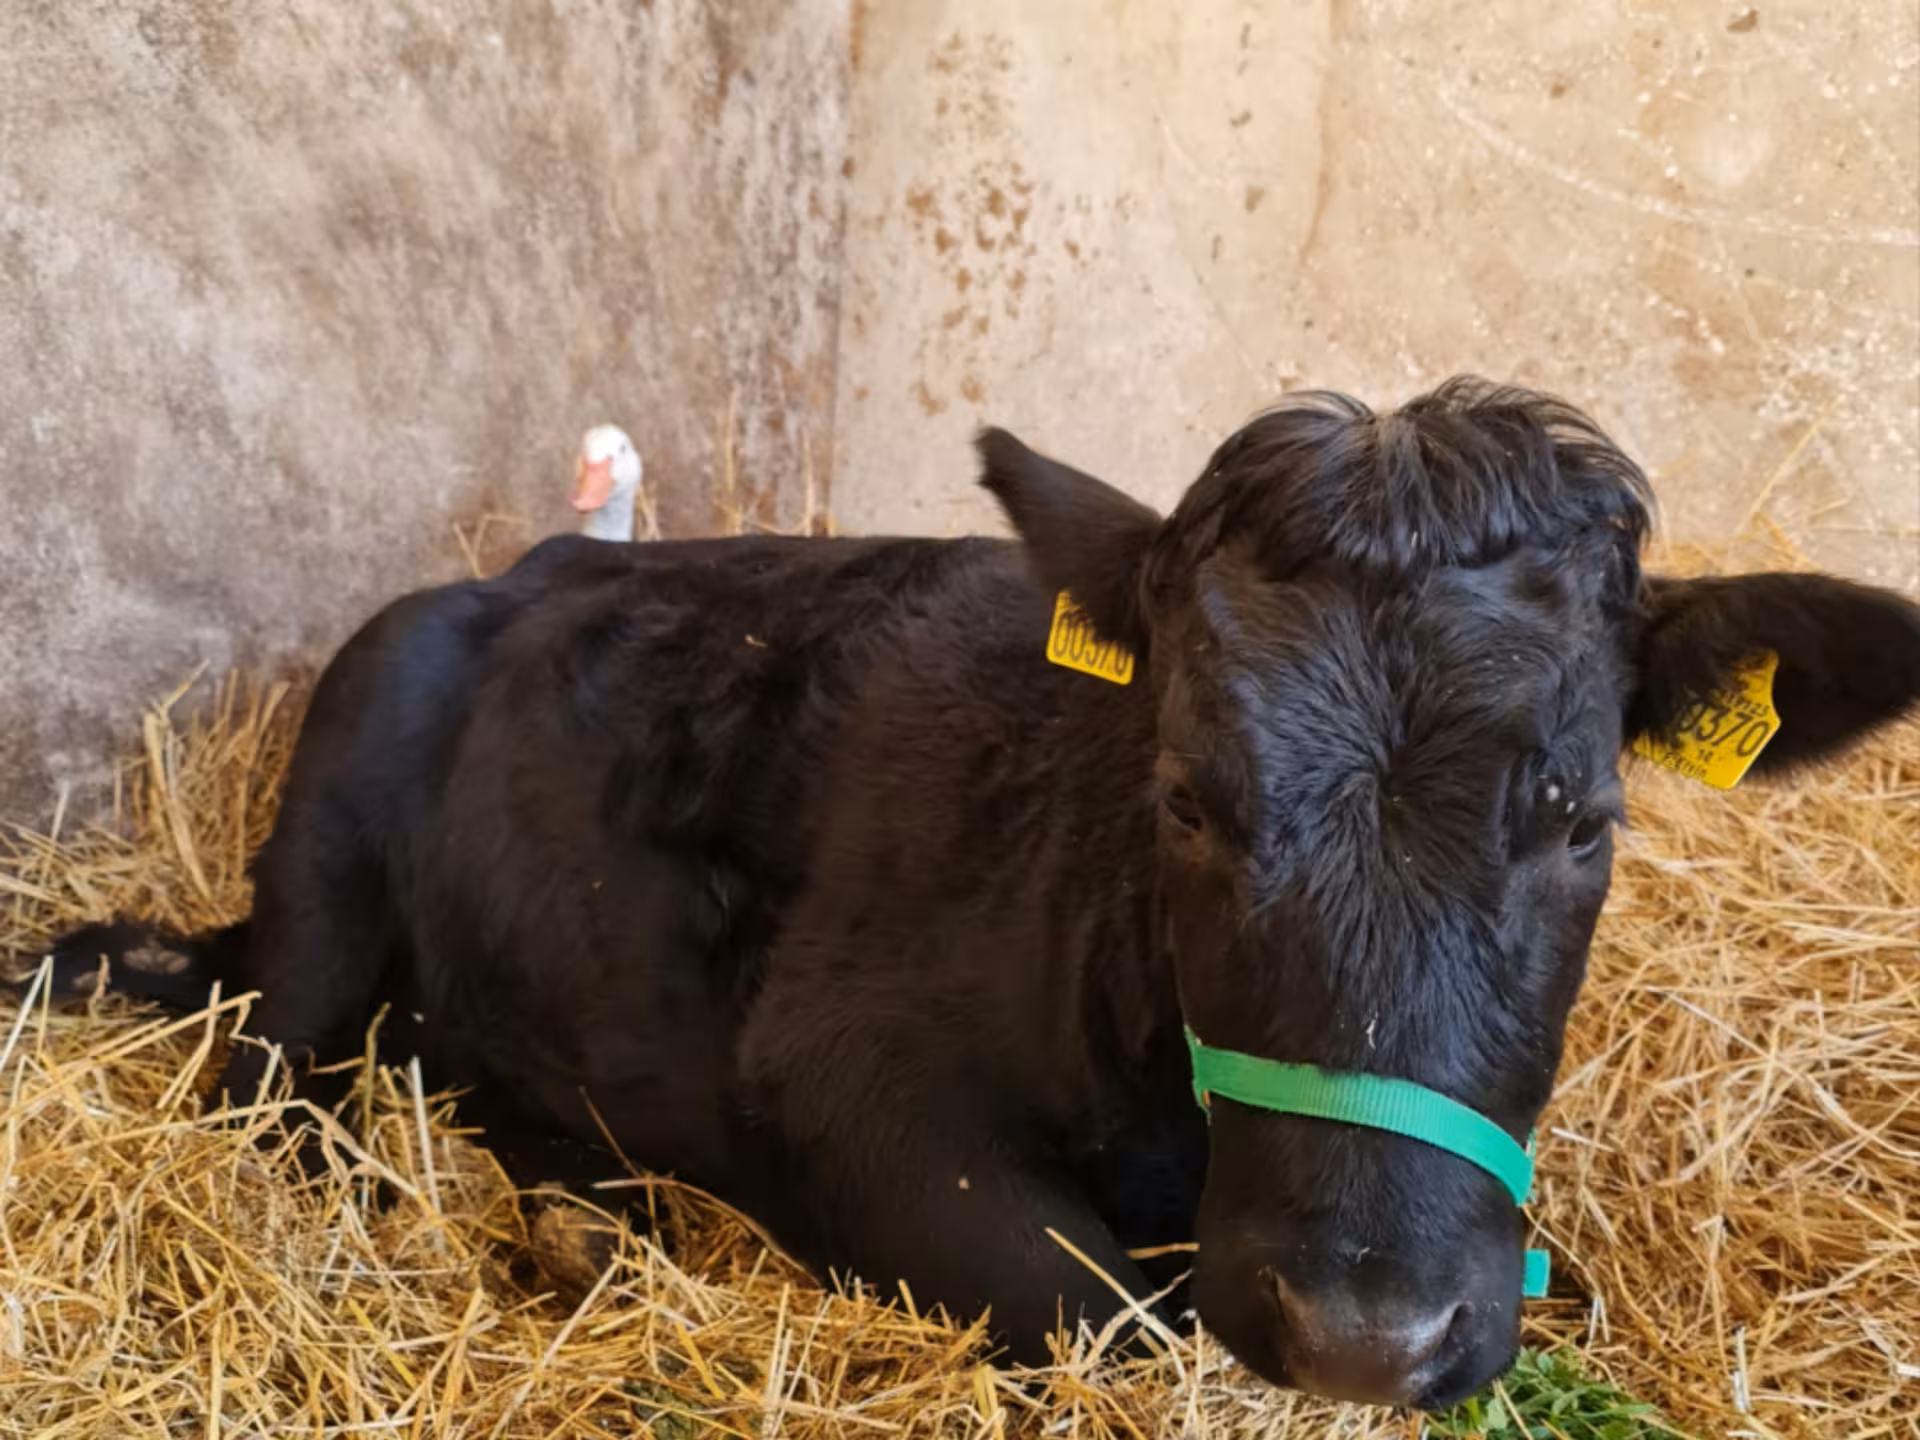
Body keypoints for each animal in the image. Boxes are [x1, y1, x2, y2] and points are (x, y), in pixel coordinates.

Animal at [22, 378, 1920, 1408]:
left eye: (1583, 823)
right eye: (1187, 797)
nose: (1365, 1333)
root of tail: (520, 570)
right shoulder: (843, 1082)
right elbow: (1111, 1317)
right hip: (326, 858)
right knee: (268, 1080)